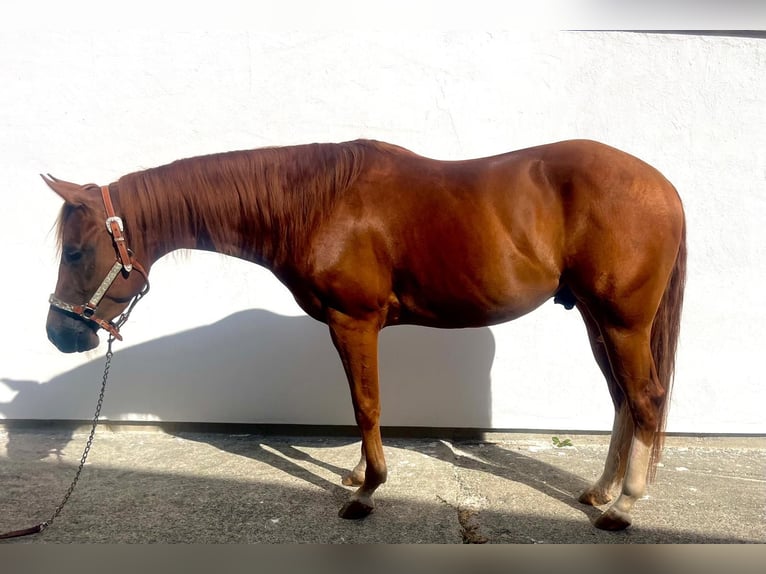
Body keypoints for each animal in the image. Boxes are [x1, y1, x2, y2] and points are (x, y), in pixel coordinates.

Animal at [44, 138, 686, 531]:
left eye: (75, 251)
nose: (59, 334)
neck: (315, 202)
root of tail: (664, 187)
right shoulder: (348, 326)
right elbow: (360, 404)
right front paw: (358, 473)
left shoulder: (354, 320)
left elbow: (366, 404)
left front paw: (366, 492)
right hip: (596, 319)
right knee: (623, 400)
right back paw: (599, 492)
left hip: (622, 321)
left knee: (646, 398)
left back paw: (623, 507)